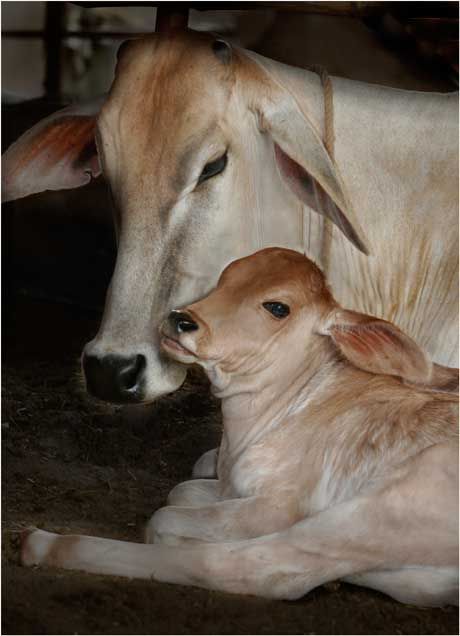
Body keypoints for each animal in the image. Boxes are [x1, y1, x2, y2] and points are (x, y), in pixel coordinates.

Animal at [23, 248, 458, 608]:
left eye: (278, 307)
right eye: (226, 277)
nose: (181, 320)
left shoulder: (279, 506)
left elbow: (165, 519)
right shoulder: (230, 487)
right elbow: (180, 492)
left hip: (380, 509)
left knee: (254, 568)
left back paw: (42, 544)